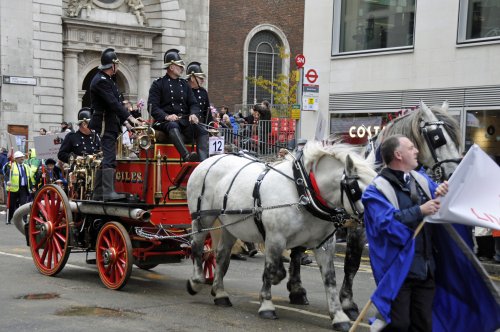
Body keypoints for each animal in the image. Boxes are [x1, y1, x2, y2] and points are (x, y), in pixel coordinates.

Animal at [187, 141, 376, 330]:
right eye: (358, 190)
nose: (376, 221)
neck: (303, 192)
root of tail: (209, 160)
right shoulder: (275, 238)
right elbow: (272, 269)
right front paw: (267, 305)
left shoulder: (325, 244)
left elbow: (329, 279)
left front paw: (338, 315)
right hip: (203, 219)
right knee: (197, 247)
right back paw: (196, 282)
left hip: (230, 226)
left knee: (221, 256)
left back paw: (220, 293)